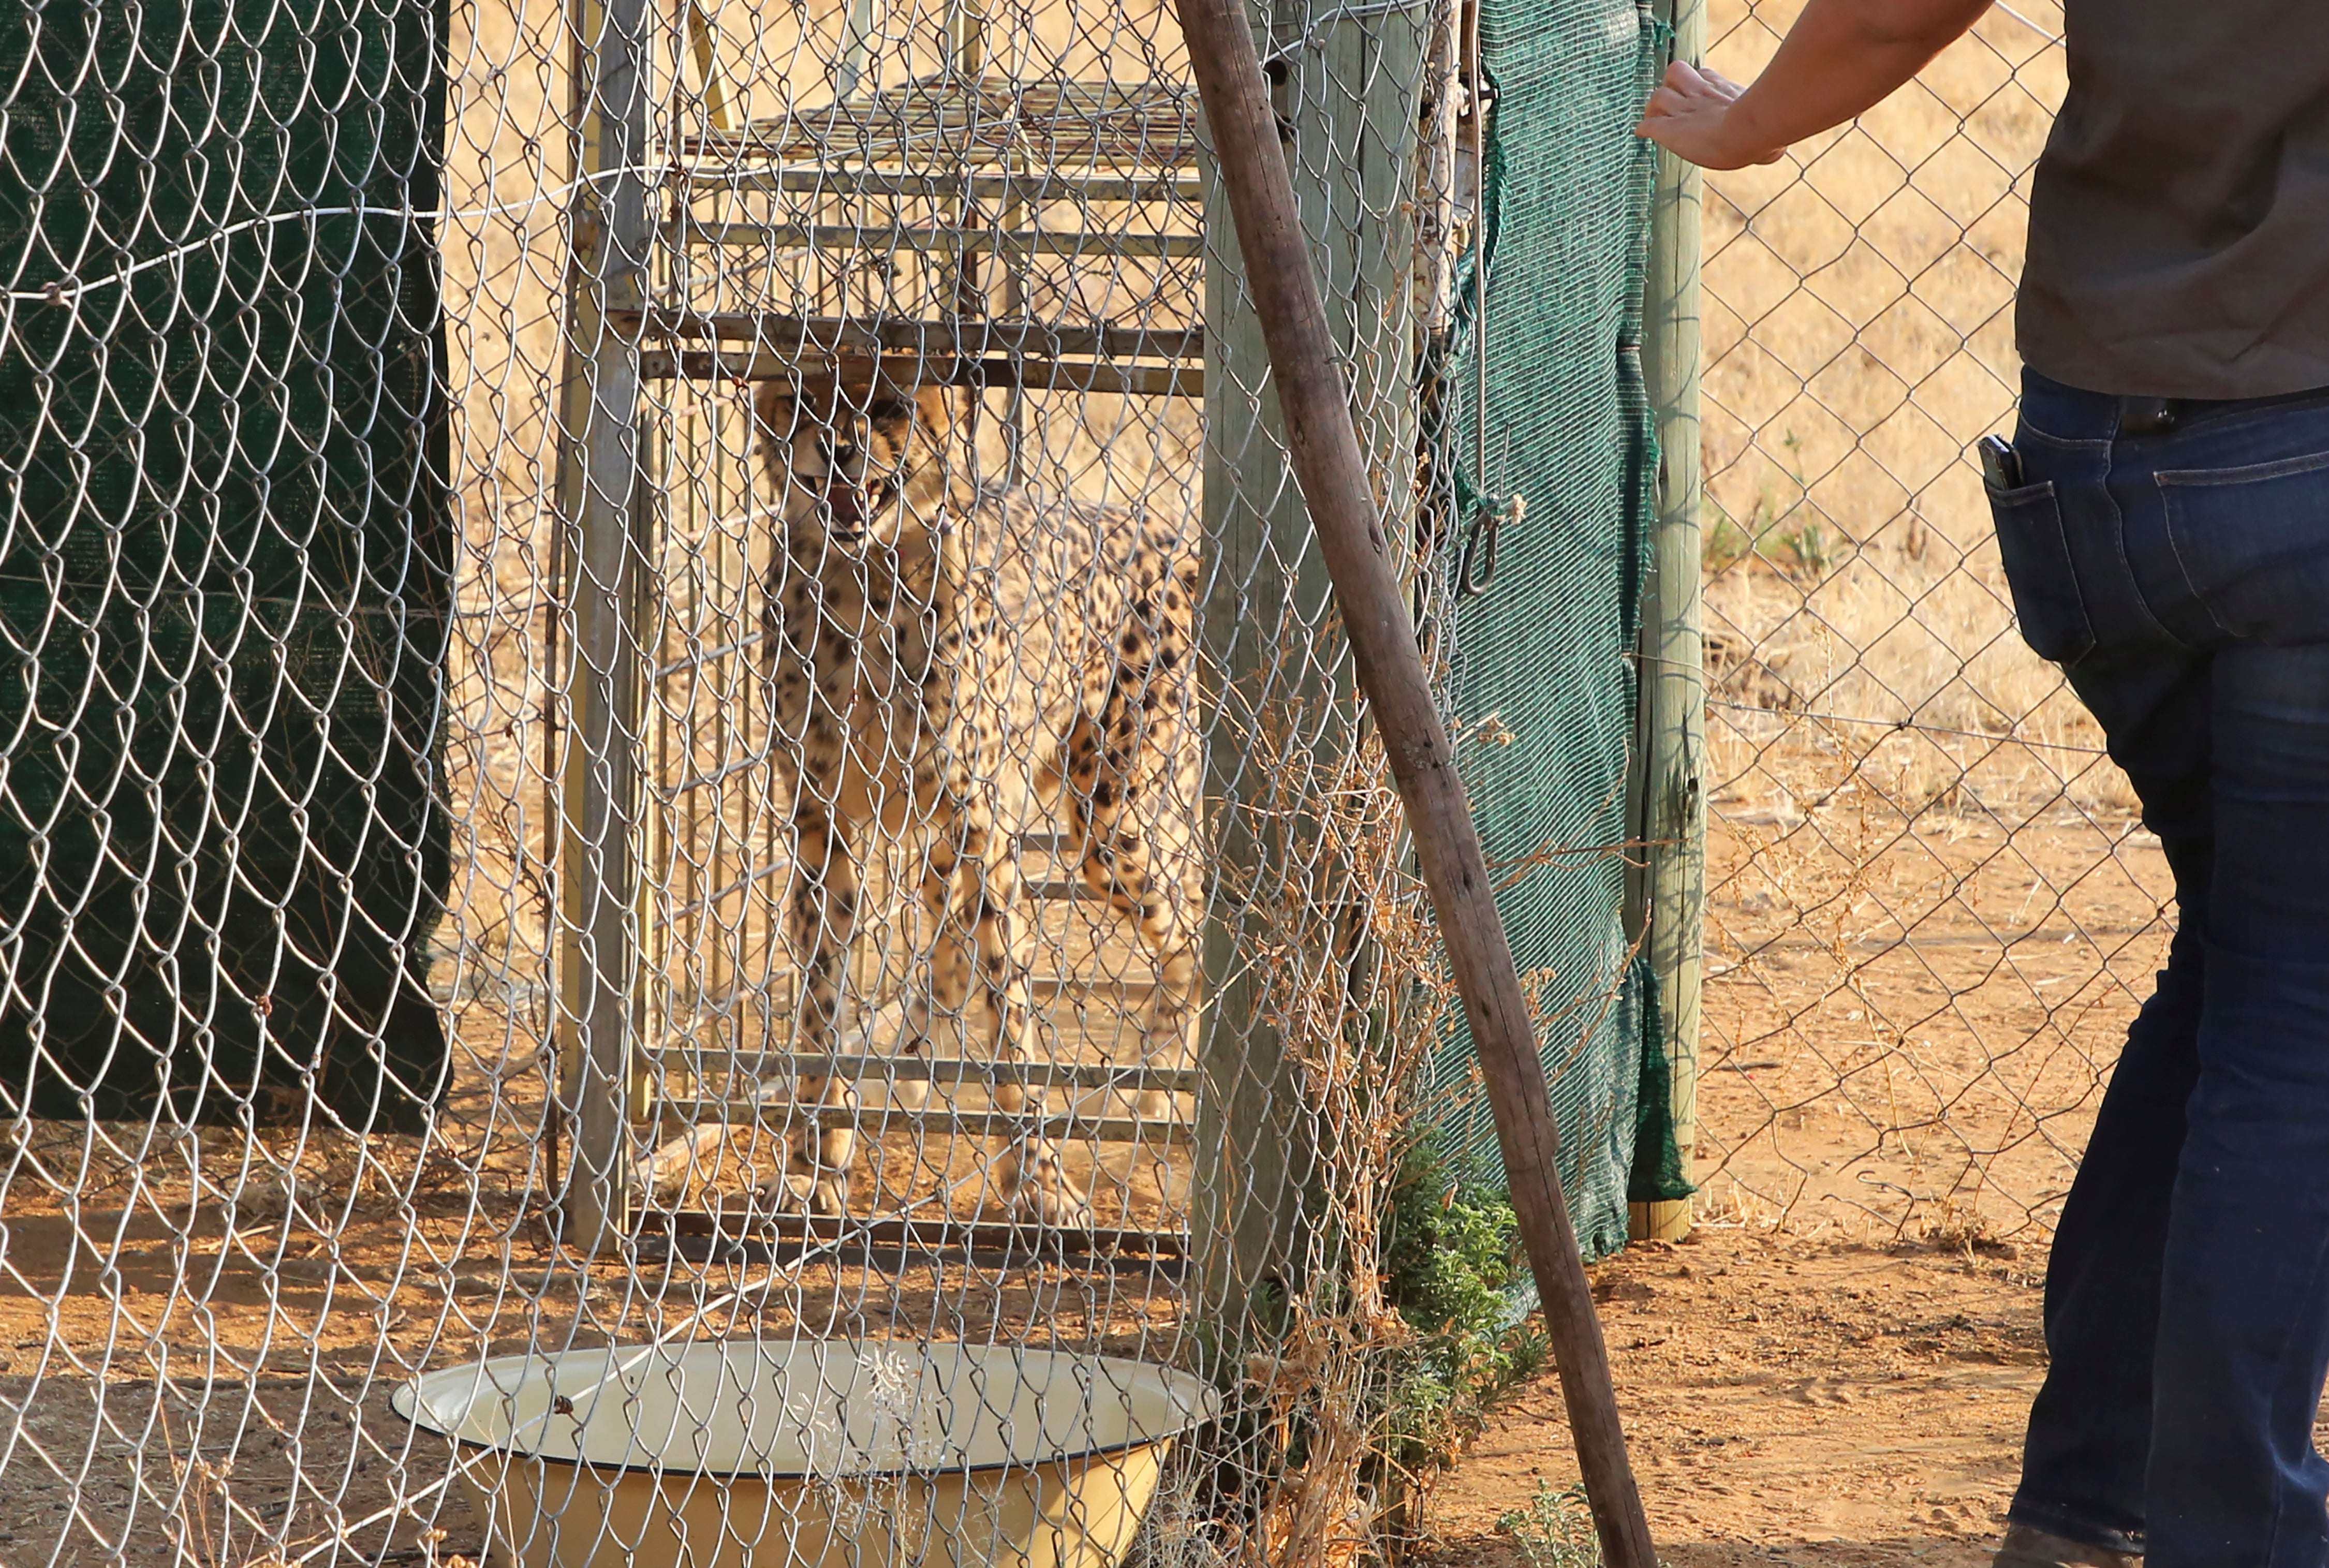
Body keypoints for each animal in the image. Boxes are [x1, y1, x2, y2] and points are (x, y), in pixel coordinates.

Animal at [759, 375, 1202, 1221]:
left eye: (892, 408)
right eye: (806, 403)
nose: (838, 446)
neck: (868, 580)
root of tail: (1158, 528)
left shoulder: (985, 830)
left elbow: (1011, 1021)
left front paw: (1039, 1182)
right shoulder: (824, 827)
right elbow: (821, 1002)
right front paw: (811, 1161)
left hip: (1112, 817)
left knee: (1189, 925)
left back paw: (1160, 1093)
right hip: (957, 842)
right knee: (947, 952)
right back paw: (905, 1073)